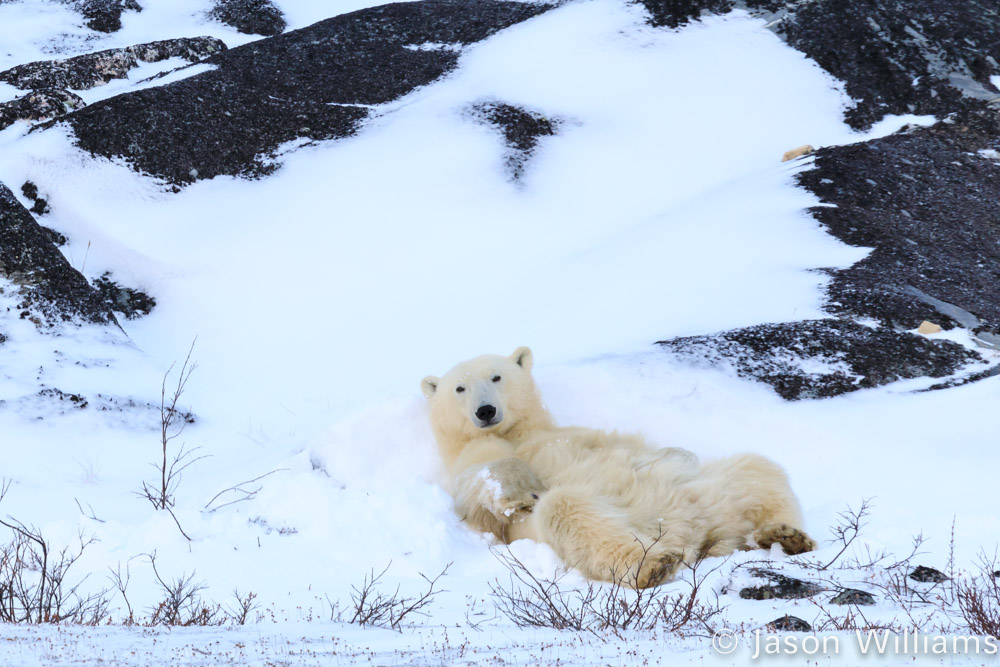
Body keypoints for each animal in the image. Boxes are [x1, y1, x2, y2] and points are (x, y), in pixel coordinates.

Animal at [418, 350, 816, 588]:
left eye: (496, 377)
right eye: (459, 388)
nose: (485, 410)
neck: (517, 432)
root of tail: (699, 534)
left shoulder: (572, 432)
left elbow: (650, 452)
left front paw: (679, 453)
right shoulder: (471, 462)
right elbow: (477, 487)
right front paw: (521, 491)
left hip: (707, 492)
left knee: (757, 469)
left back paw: (784, 535)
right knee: (566, 510)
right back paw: (653, 565)